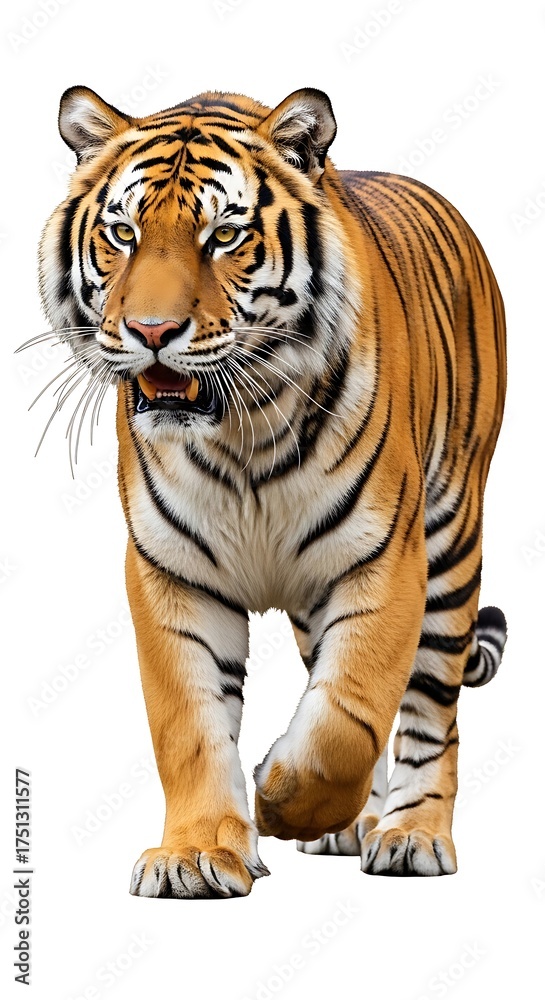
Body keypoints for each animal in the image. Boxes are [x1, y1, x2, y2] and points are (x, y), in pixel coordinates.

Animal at [33, 84, 507, 898]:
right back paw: (351, 825)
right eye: (123, 232)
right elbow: (188, 725)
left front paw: (279, 797)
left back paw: (410, 835)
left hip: (451, 542)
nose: (150, 330)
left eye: (224, 235)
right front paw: (195, 855)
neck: (239, 432)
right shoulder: (171, 574)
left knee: (428, 710)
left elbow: (350, 714)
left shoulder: (385, 560)